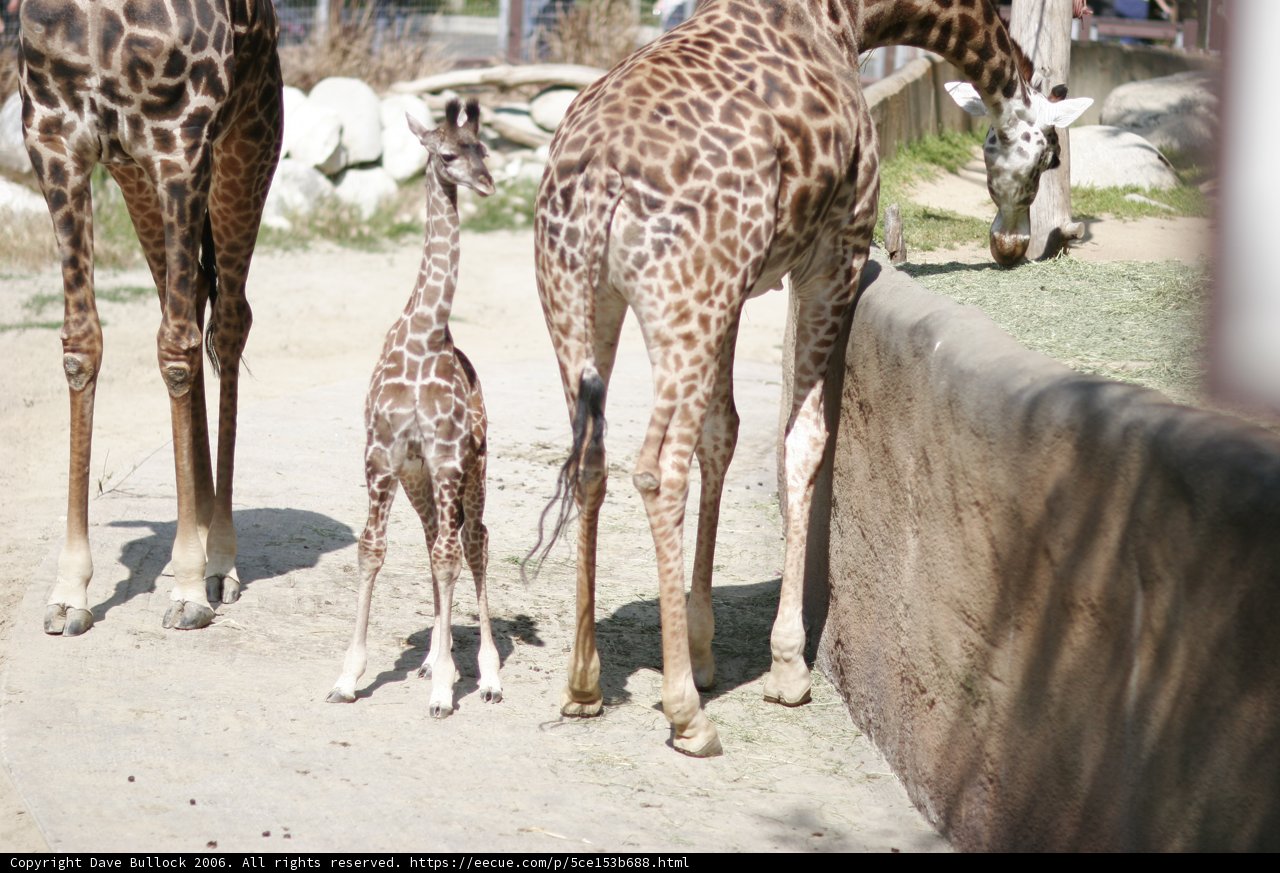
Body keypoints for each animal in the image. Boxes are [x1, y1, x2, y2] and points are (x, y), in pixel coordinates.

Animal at [18, 0, 283, 634]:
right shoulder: (55, 139)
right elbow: (82, 345)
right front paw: (70, 592)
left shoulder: (178, 144)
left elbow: (178, 351)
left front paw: (187, 587)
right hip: (135, 177)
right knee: (189, 301)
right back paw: (204, 537)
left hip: (247, 145)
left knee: (227, 322)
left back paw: (219, 561)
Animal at [327, 100, 501, 717]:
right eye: (447, 154)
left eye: (484, 149)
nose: (487, 183)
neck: (426, 335)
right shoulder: (381, 455)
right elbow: (370, 550)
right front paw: (348, 677)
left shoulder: (448, 457)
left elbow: (453, 554)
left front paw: (447, 688)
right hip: (417, 478)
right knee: (433, 543)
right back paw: (432, 657)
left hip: (472, 469)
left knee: (472, 543)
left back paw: (486, 675)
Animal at [531, 0, 1090, 756]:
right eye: (1050, 155)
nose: (1009, 245)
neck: (852, 18)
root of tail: (600, 179)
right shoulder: (834, 254)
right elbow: (803, 442)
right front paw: (788, 667)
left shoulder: (738, 288)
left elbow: (724, 434)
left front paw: (704, 648)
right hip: (681, 299)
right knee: (657, 468)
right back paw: (686, 715)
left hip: (582, 300)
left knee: (590, 457)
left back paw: (584, 683)